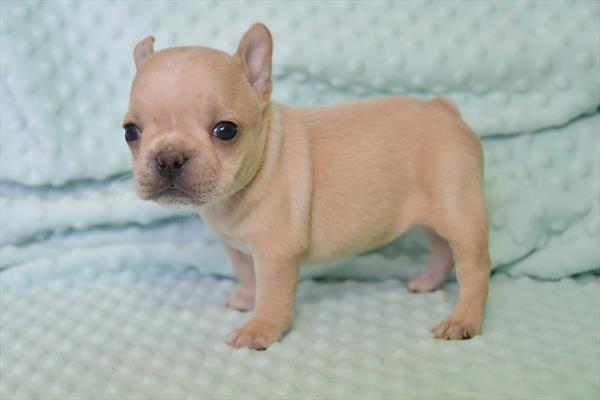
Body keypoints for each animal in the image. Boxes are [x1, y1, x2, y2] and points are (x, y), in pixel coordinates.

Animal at [124, 24, 490, 350]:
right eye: (130, 132)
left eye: (226, 130)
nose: (170, 158)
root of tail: (444, 109)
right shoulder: (236, 247)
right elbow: (246, 274)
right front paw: (247, 298)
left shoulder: (275, 253)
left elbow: (272, 295)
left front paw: (259, 330)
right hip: (433, 216)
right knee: (441, 250)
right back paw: (427, 283)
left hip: (460, 214)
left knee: (474, 268)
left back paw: (462, 321)